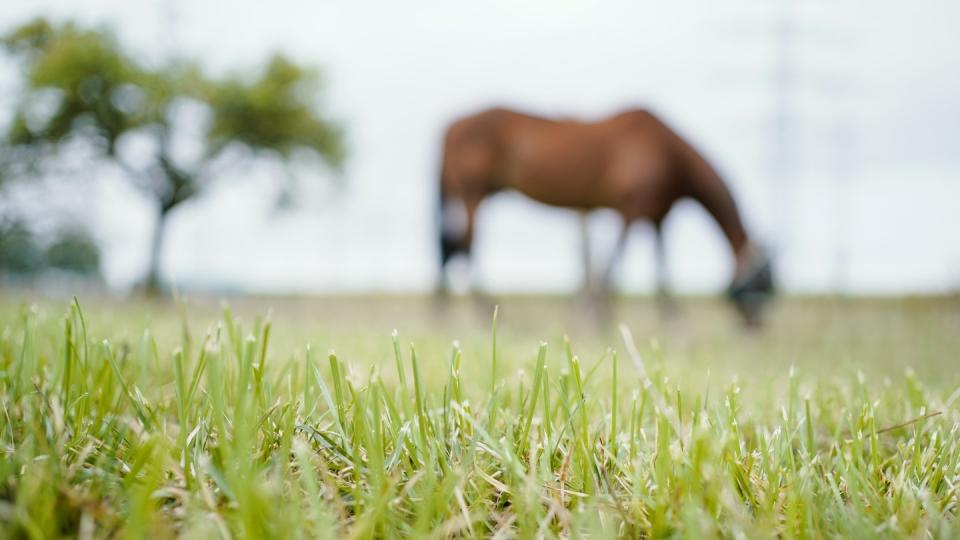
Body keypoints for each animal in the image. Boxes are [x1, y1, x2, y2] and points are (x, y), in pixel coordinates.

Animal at [436, 106, 772, 324]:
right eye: (764, 281)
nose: (757, 325)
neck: (670, 155)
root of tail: (450, 125)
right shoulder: (631, 207)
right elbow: (613, 264)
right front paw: (597, 317)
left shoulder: (658, 215)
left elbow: (660, 268)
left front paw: (672, 321)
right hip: (473, 192)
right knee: (465, 245)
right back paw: (485, 313)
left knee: (452, 247)